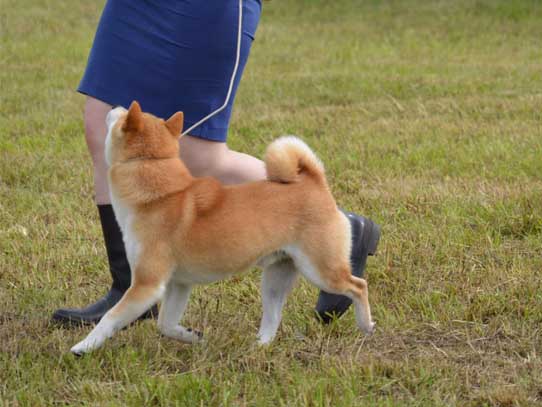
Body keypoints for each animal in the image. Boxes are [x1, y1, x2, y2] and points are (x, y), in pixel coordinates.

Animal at [70, 100, 374, 356]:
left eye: (122, 116)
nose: (115, 105)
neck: (160, 194)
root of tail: (315, 184)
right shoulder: (179, 283)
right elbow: (166, 324)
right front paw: (192, 335)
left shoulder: (147, 284)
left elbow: (110, 318)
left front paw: (84, 346)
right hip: (277, 275)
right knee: (273, 317)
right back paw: (258, 347)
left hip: (320, 270)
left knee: (358, 285)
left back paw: (365, 324)